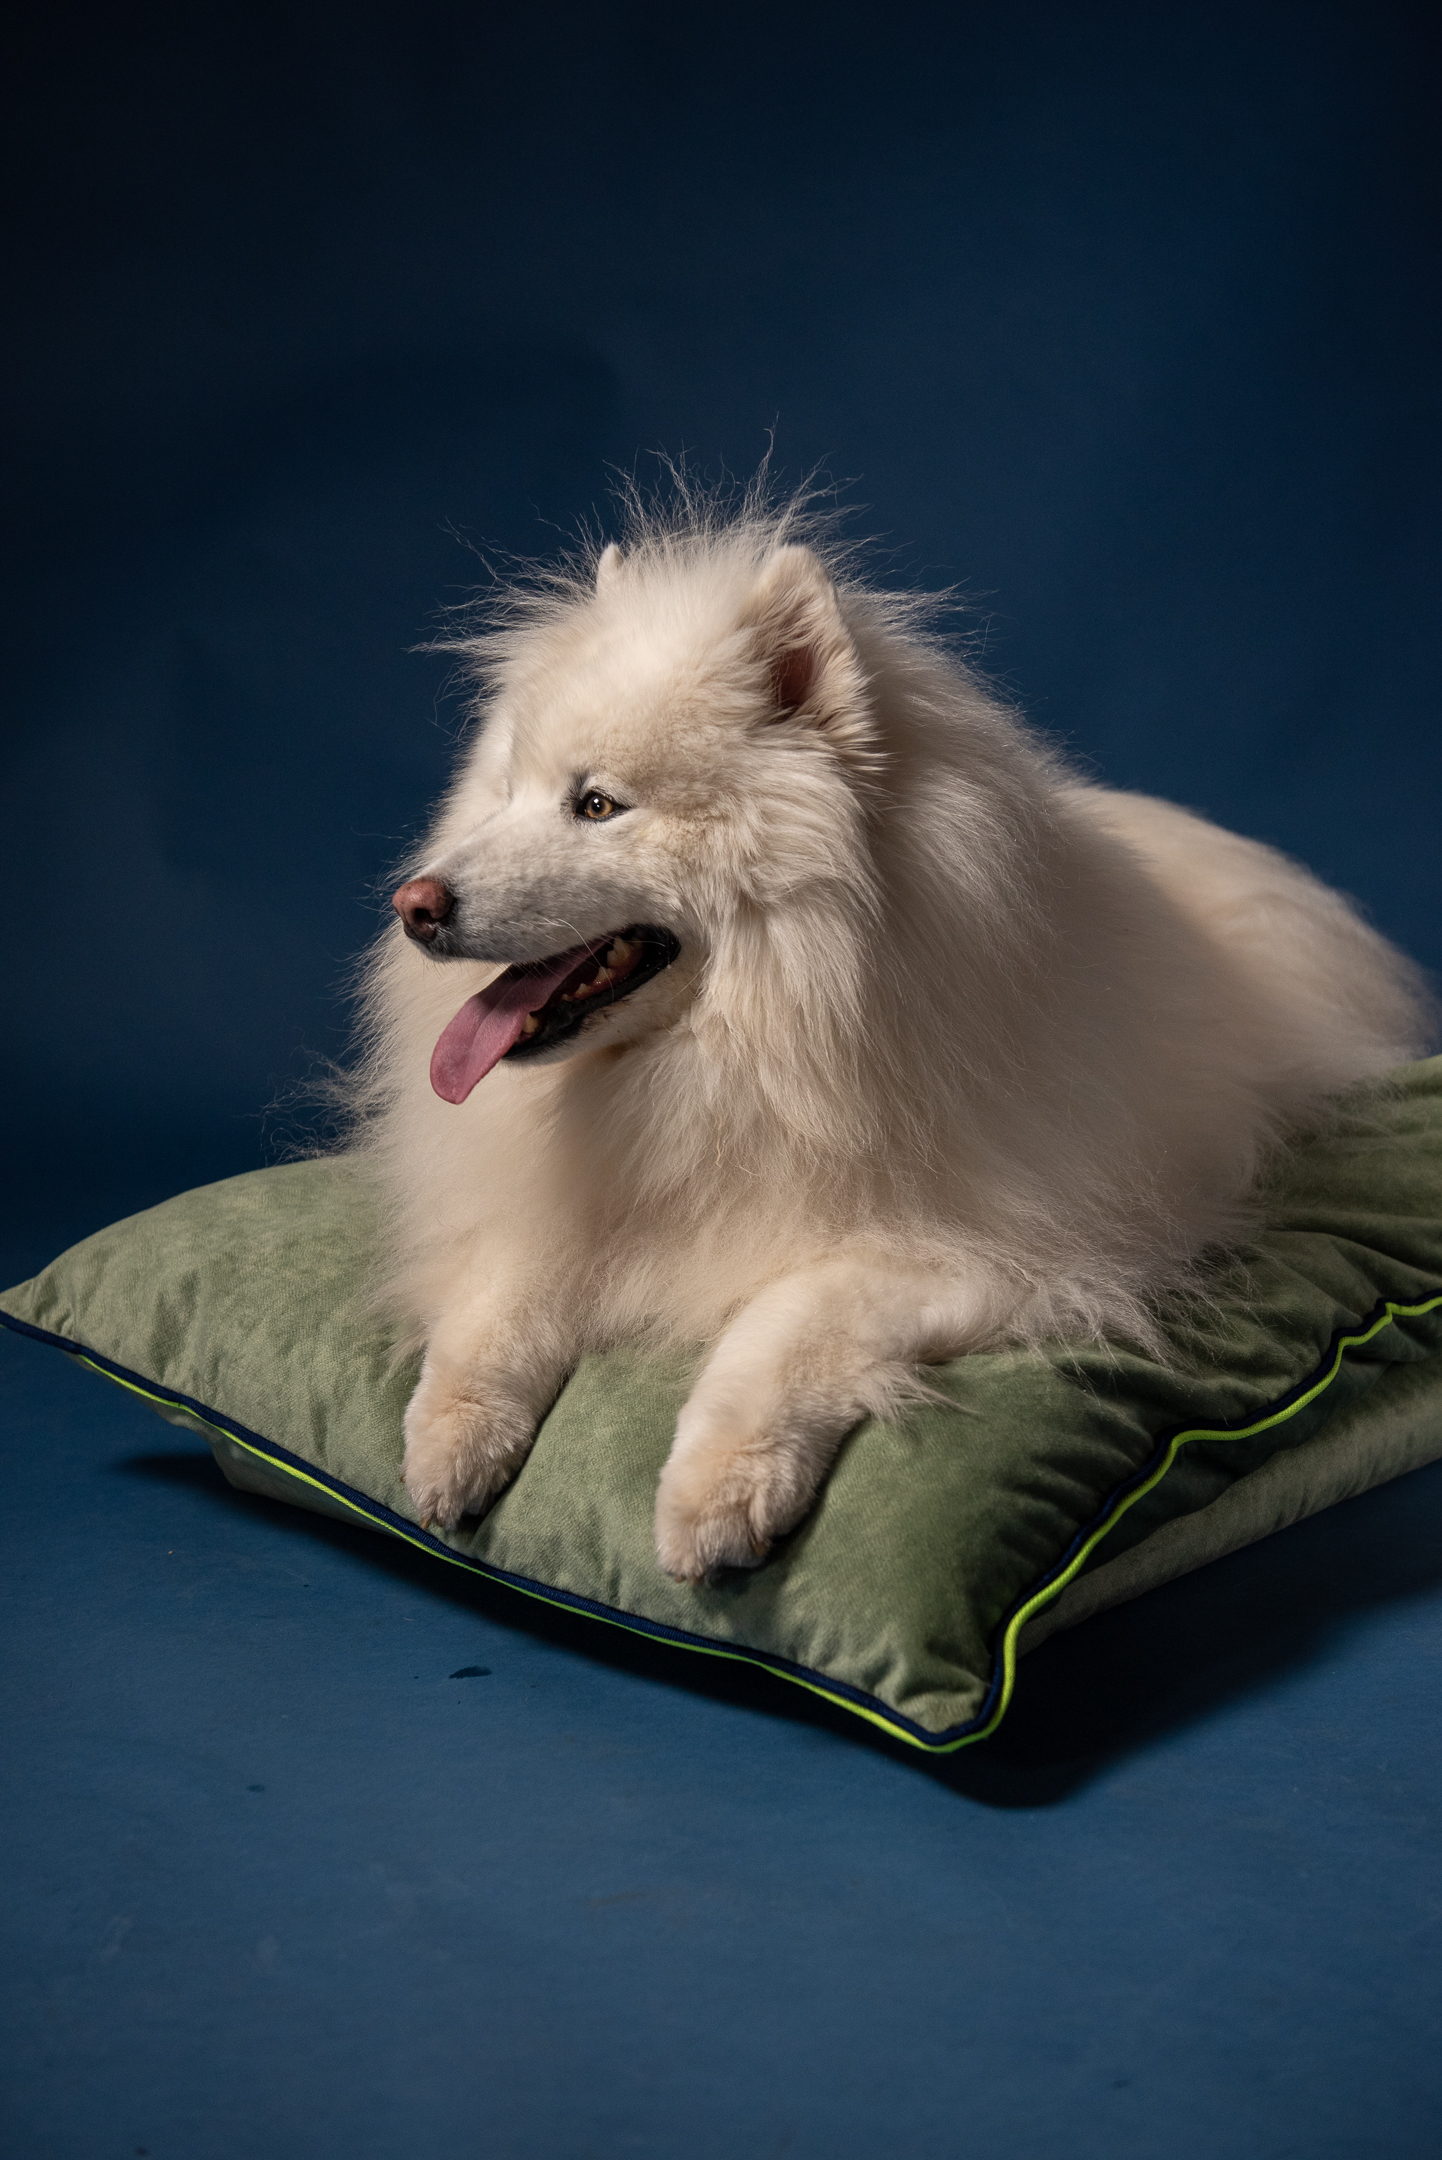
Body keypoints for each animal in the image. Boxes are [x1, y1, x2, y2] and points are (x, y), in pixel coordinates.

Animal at [352, 486, 1432, 1583]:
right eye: (504, 795)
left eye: (598, 804)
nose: (414, 905)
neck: (741, 1059)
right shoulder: (557, 1197)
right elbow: (505, 1293)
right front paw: (449, 1442)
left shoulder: (982, 1249)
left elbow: (779, 1323)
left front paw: (715, 1493)